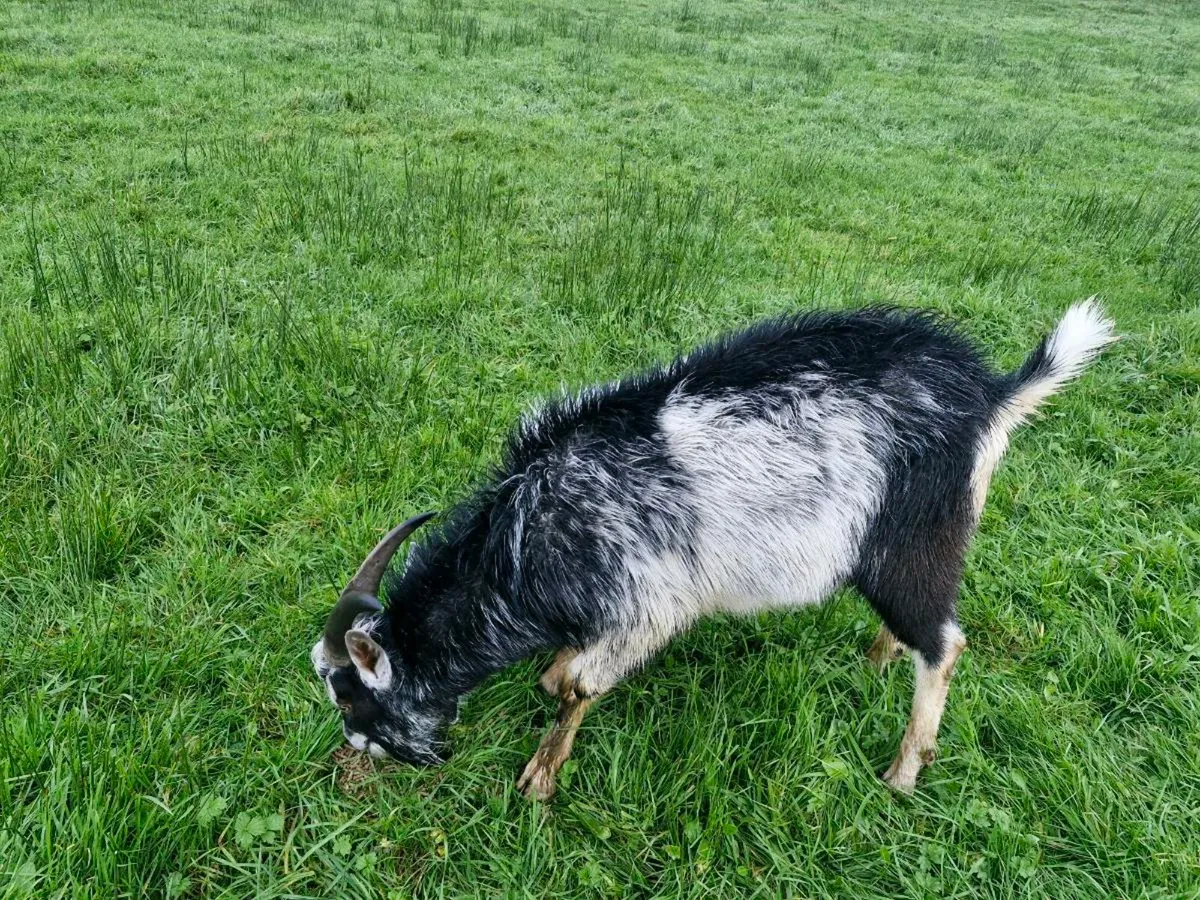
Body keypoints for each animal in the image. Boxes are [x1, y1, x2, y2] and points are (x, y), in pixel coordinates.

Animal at [311, 299, 1115, 798]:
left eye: (352, 699)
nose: (354, 753)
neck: (529, 534)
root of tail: (993, 395)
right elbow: (565, 672)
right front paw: (550, 675)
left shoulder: (649, 601)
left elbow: (581, 690)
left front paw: (540, 777)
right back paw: (878, 659)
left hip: (912, 543)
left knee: (945, 644)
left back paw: (903, 772)